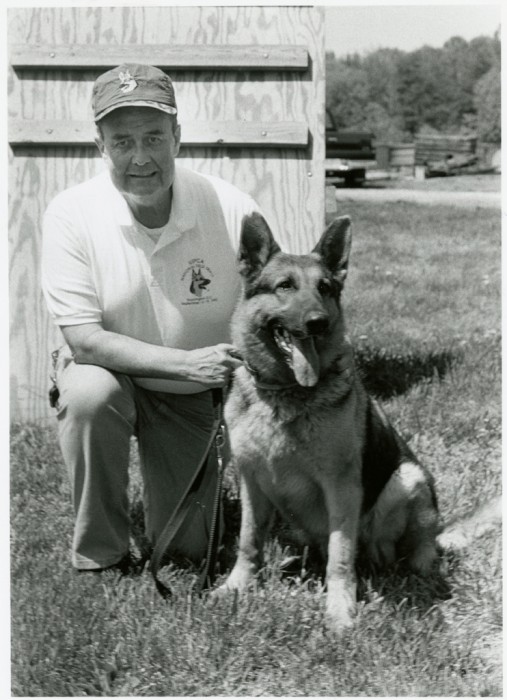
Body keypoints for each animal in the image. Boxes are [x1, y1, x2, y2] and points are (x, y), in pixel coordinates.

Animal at [219, 212, 504, 636]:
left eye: (324, 288)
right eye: (285, 286)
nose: (318, 322)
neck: (287, 393)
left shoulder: (341, 487)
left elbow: (341, 557)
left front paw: (340, 611)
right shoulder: (252, 482)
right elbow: (249, 541)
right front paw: (236, 587)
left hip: (407, 479)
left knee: (406, 550)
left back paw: (416, 568)